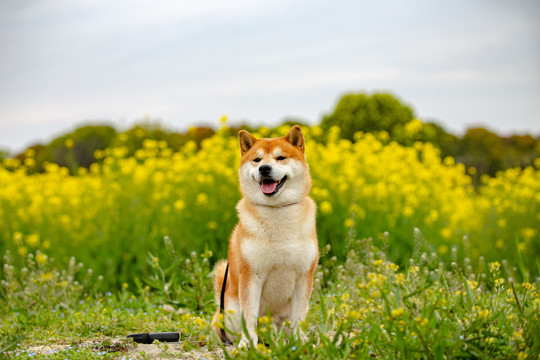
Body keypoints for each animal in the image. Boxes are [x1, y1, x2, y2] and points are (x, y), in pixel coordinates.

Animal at [211, 125, 318, 348]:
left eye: (281, 157)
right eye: (257, 159)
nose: (264, 169)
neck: (277, 214)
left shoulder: (304, 276)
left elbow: (298, 317)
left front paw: (300, 342)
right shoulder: (251, 275)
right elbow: (250, 316)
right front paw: (247, 345)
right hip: (230, 311)